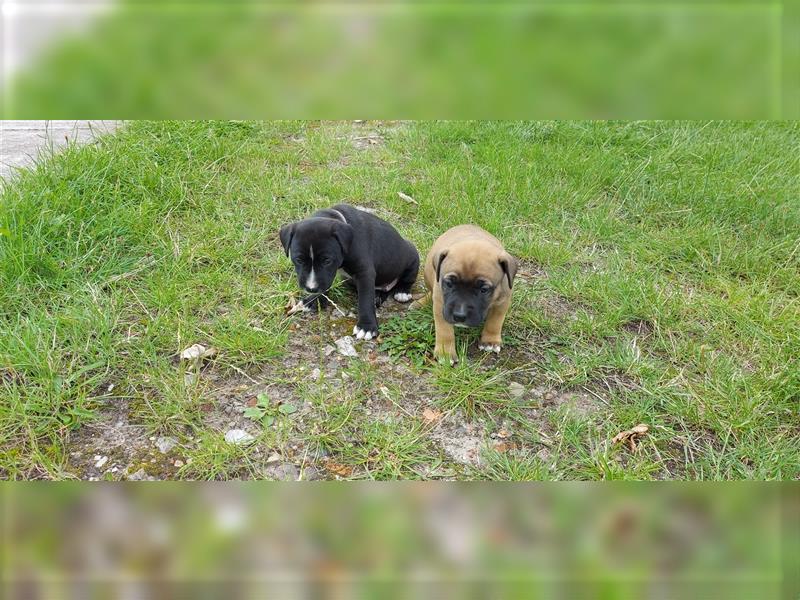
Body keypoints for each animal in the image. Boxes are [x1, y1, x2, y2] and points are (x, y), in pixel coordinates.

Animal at [280, 205, 418, 338]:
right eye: (299, 260)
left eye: (327, 261)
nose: (311, 288)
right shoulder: (328, 275)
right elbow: (325, 285)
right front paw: (313, 300)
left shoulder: (364, 272)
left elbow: (365, 299)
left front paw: (366, 327)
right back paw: (377, 297)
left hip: (412, 255)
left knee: (407, 280)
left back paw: (402, 292)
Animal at [424, 225, 520, 364]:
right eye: (449, 284)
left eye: (484, 289)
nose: (459, 315)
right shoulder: (441, 303)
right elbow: (444, 329)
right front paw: (445, 353)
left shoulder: (503, 301)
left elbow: (495, 321)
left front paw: (490, 340)